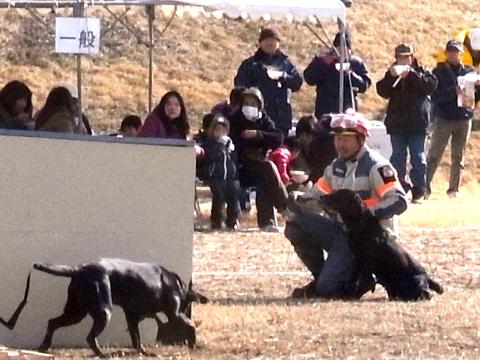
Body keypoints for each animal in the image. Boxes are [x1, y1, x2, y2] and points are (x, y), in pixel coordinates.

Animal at [31, 258, 208, 358]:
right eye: (187, 306)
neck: (176, 284)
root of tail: (79, 269)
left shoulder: (132, 317)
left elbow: (136, 339)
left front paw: (144, 353)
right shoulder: (174, 313)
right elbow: (191, 325)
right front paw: (193, 343)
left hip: (76, 312)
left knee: (52, 322)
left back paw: (44, 347)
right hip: (103, 312)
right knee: (90, 337)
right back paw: (102, 355)